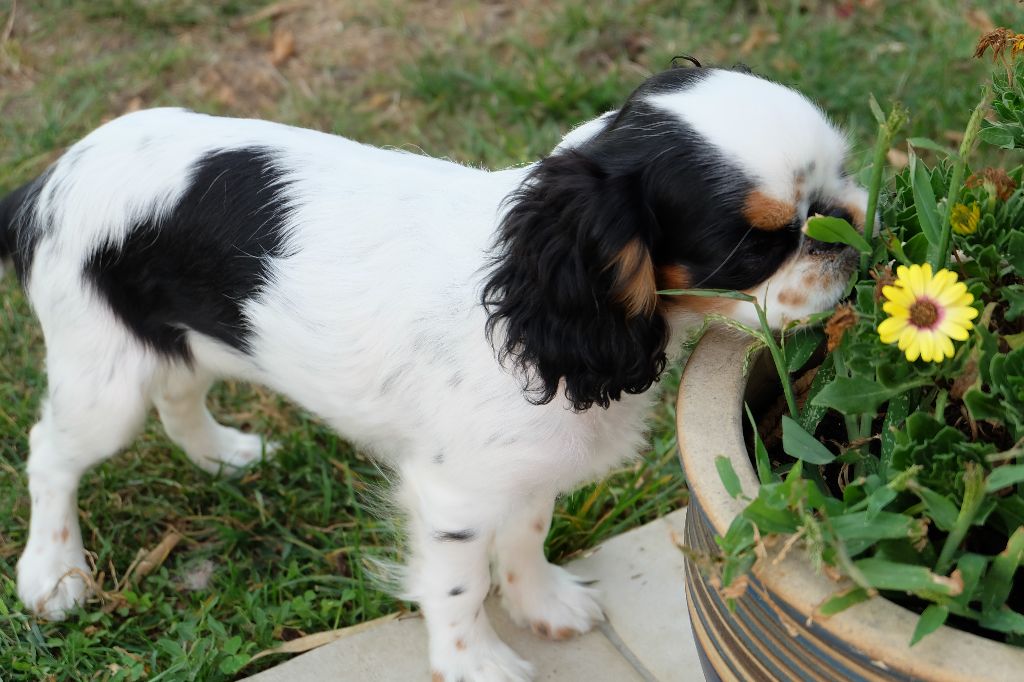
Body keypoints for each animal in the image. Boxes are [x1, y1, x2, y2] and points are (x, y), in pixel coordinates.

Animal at [0, 65, 864, 679]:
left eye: (842, 181)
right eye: (755, 246)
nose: (848, 227)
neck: (538, 294)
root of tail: (44, 183)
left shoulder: (528, 467)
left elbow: (526, 536)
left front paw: (542, 603)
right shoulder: (455, 495)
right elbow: (458, 583)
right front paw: (472, 661)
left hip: (175, 341)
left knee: (179, 391)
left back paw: (220, 456)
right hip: (103, 378)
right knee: (51, 453)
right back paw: (54, 571)